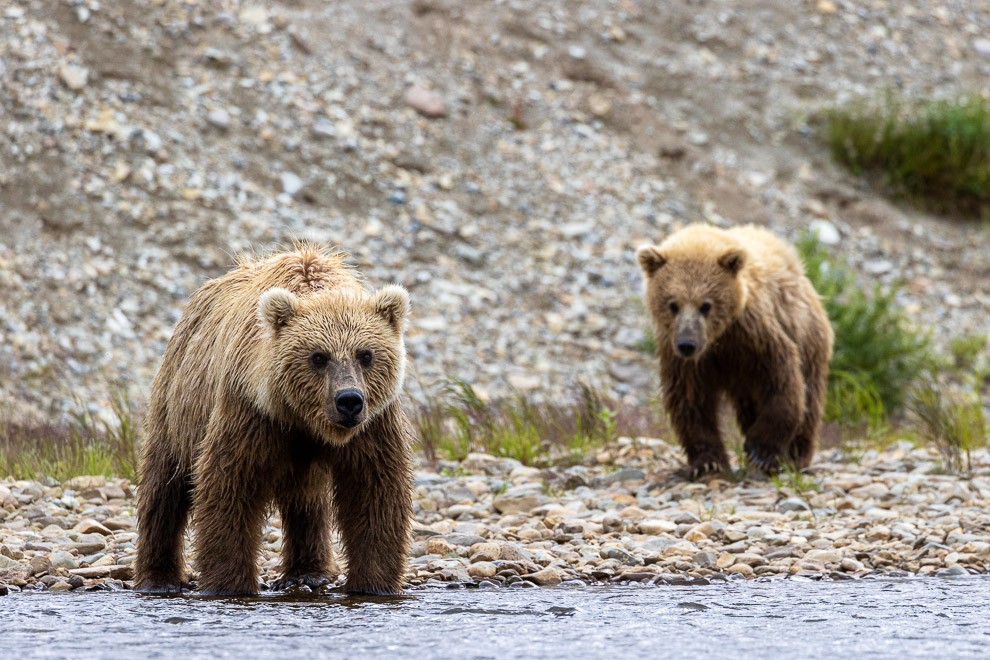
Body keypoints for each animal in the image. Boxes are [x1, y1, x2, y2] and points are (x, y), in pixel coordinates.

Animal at [134, 245, 412, 596]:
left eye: (366, 354)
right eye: (318, 357)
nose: (349, 400)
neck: (304, 420)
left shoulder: (373, 423)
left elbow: (374, 491)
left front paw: (374, 583)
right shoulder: (252, 411)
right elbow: (229, 485)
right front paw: (229, 583)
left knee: (308, 502)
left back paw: (309, 572)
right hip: (176, 406)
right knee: (164, 486)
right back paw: (158, 578)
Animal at [640, 224, 832, 476]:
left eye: (706, 305)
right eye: (673, 304)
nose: (687, 344)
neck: (718, 339)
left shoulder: (753, 336)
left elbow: (782, 380)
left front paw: (761, 452)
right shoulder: (683, 357)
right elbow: (690, 400)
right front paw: (708, 462)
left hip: (807, 335)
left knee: (809, 395)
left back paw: (796, 455)